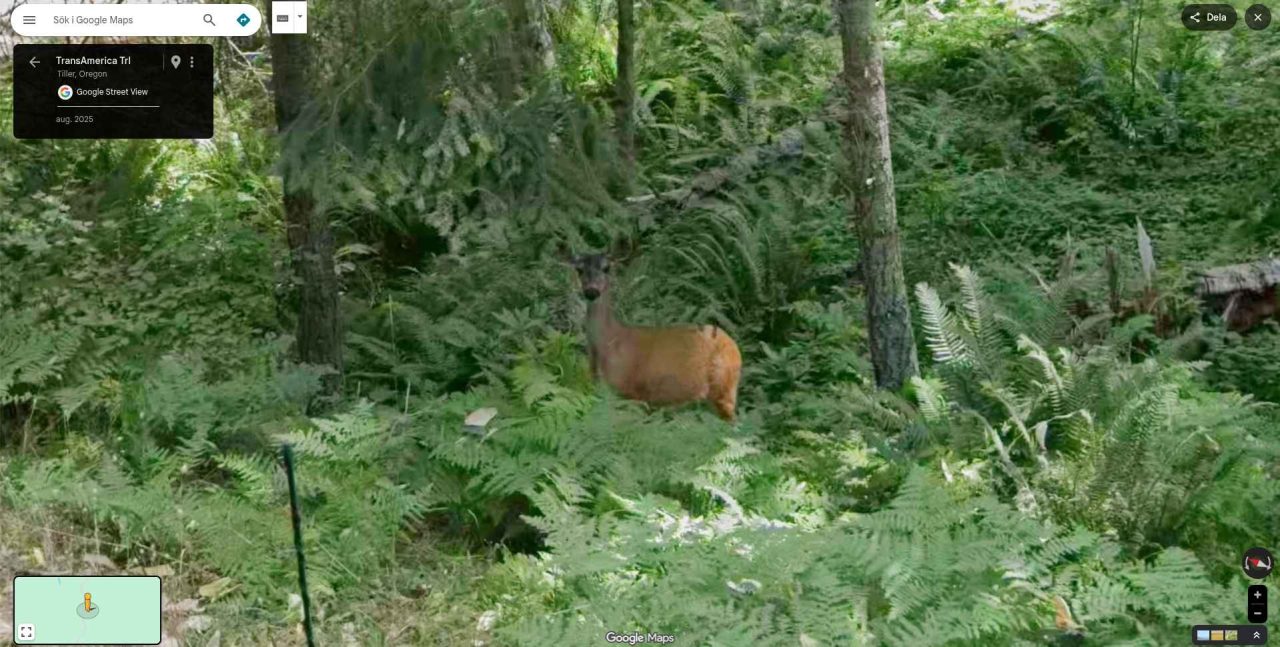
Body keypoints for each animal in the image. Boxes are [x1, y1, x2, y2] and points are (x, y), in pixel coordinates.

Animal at [566, 252, 742, 422]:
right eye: (579, 269)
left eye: (606, 268)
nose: (591, 291)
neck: (610, 342)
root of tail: (734, 347)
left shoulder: (634, 393)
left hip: (725, 389)